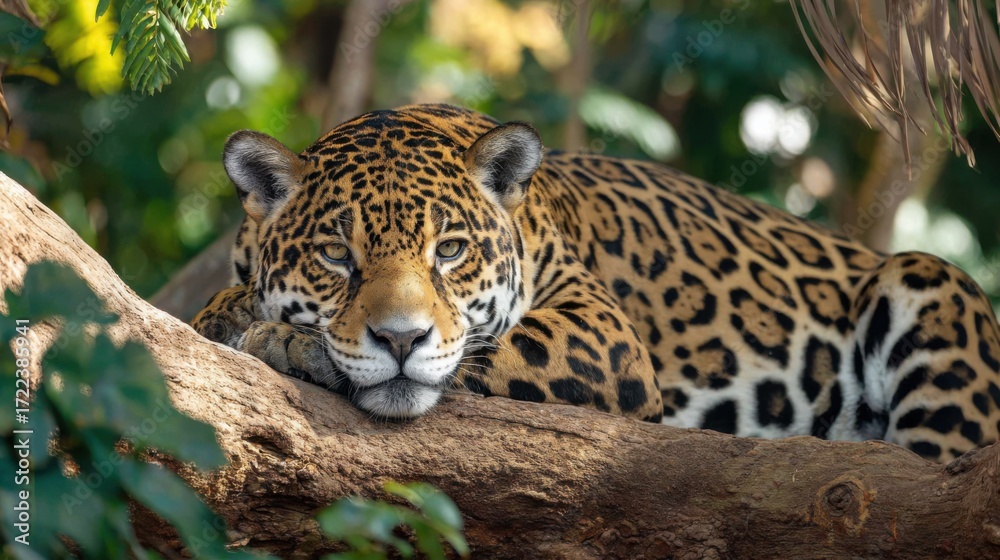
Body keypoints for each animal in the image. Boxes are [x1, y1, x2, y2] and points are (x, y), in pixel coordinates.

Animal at [192, 103, 1000, 463]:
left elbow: (486, 352)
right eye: (337, 254)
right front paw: (239, 319)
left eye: (449, 251)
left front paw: (292, 345)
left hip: (931, 282)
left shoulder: (604, 335)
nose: (400, 339)